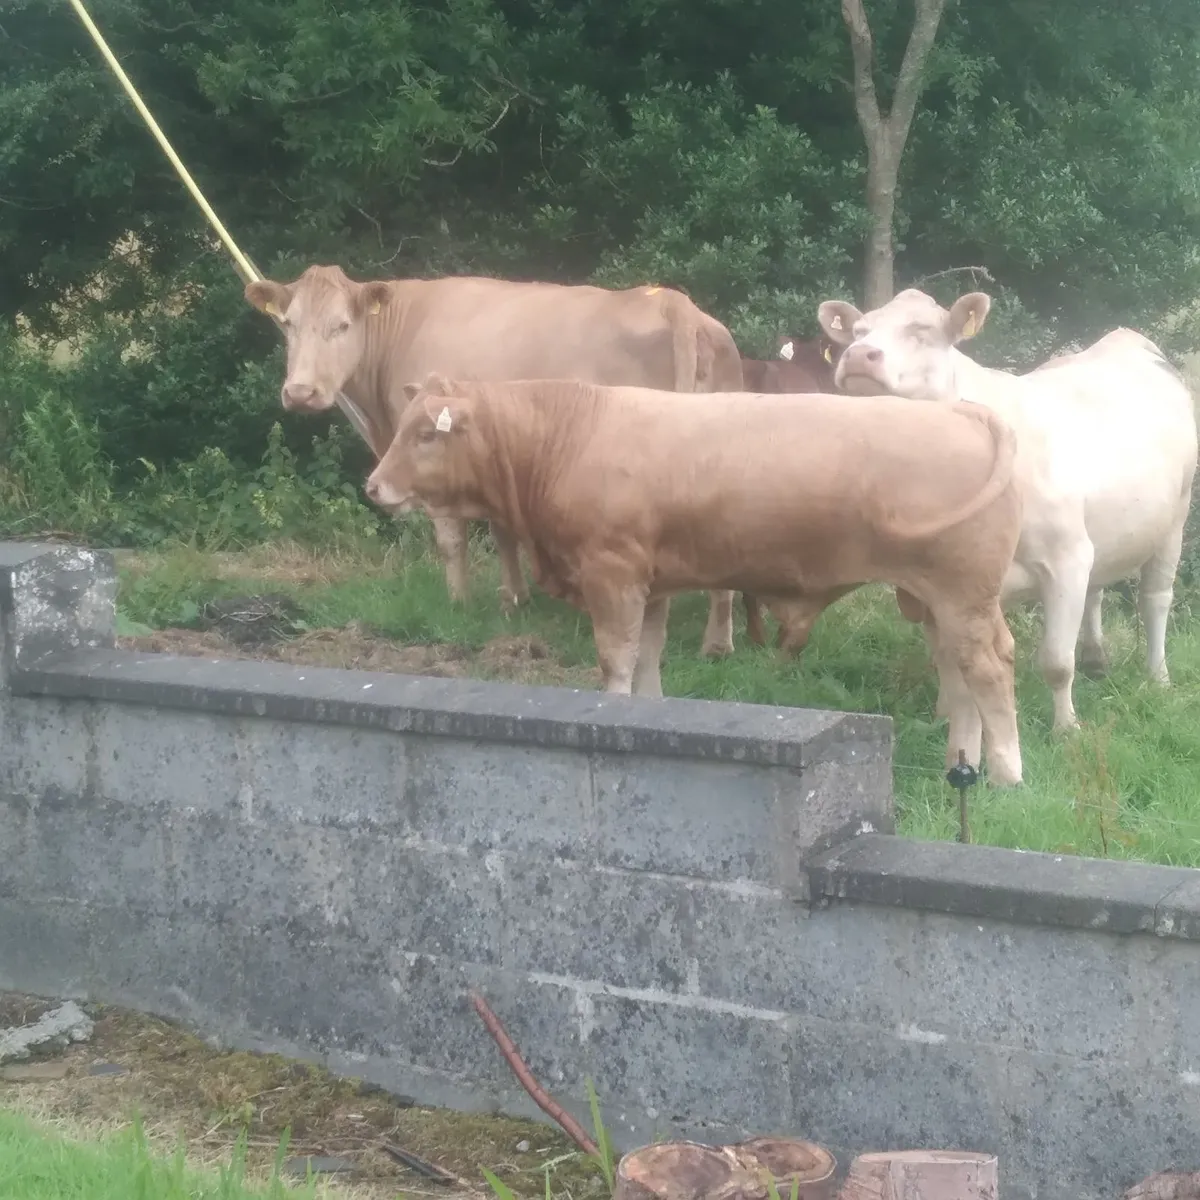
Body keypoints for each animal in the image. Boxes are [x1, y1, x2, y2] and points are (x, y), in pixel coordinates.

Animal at [244, 264, 747, 659]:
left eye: (343, 325)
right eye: (289, 324)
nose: (300, 392)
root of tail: (676, 306)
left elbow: (452, 540)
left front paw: (458, 605)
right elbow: (504, 532)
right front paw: (514, 600)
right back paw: (718, 644)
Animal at [363, 373, 1027, 786]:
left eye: (425, 433)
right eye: (405, 426)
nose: (374, 486)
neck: (567, 436)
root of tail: (961, 410)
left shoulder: (612, 573)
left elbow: (617, 659)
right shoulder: (650, 582)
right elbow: (648, 655)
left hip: (965, 596)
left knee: (989, 670)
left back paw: (1006, 774)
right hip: (933, 600)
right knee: (959, 677)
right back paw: (962, 763)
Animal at [817, 286, 1198, 733]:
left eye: (922, 330)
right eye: (858, 331)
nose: (860, 354)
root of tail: (1127, 339)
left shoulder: (1066, 558)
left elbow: (1056, 661)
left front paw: (1066, 729)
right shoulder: (934, 579)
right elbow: (947, 658)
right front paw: (947, 717)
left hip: (1174, 520)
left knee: (1155, 599)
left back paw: (1158, 677)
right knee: (1097, 592)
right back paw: (1096, 660)